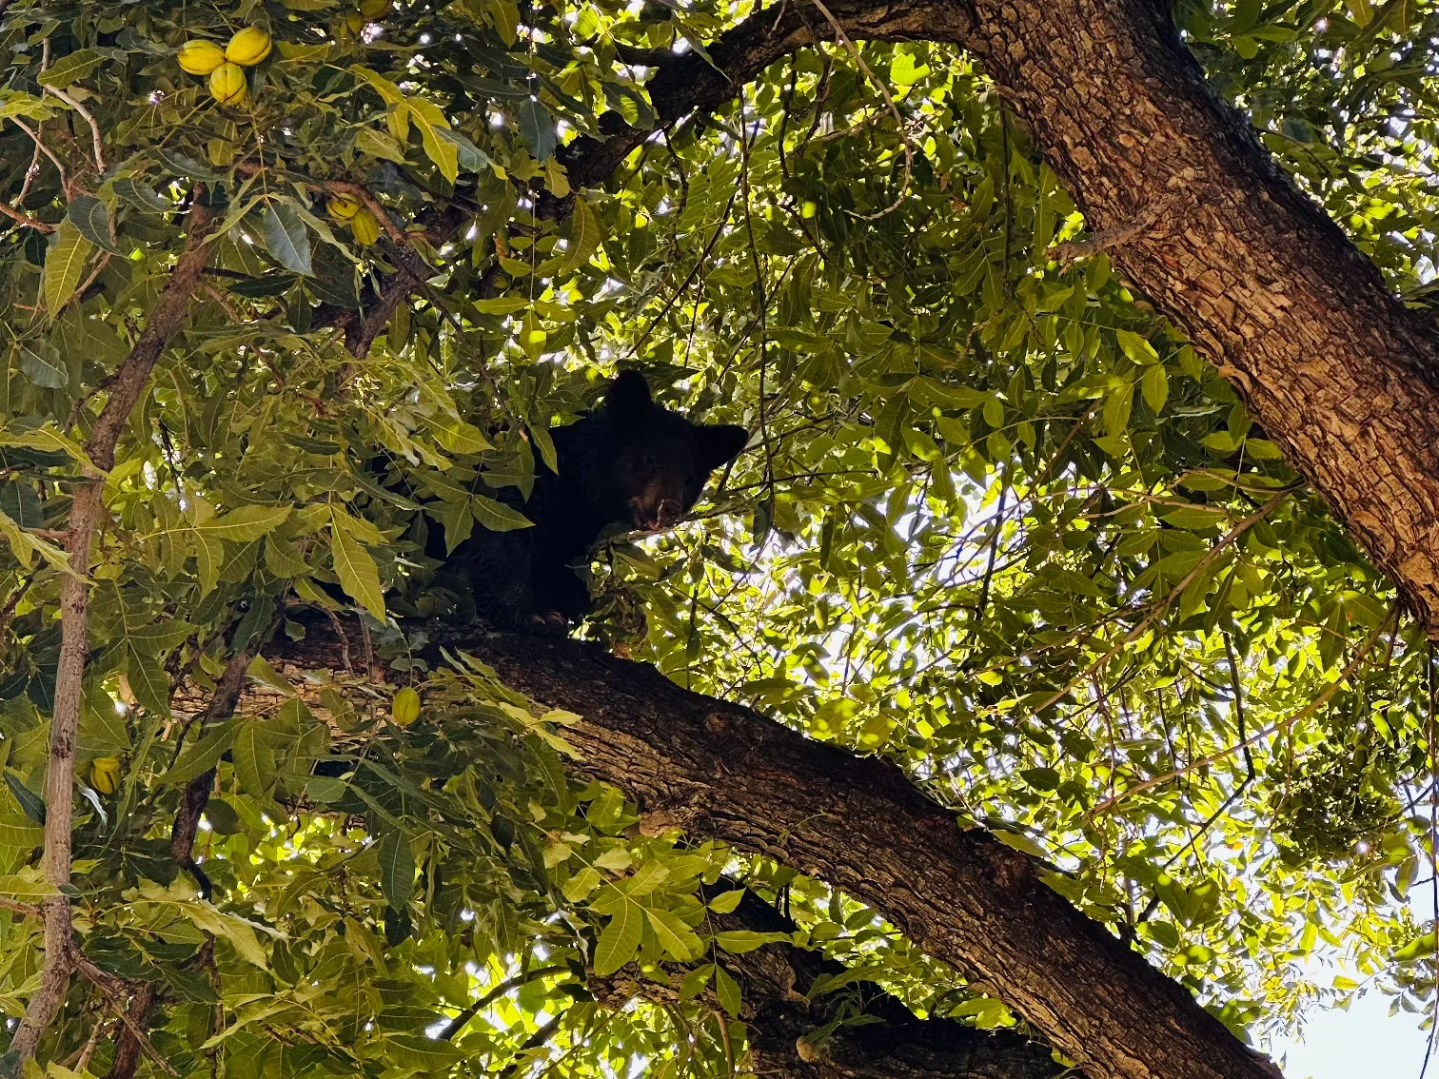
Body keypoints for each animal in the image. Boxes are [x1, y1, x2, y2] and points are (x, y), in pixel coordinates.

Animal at [429, 371, 748, 632]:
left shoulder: (574, 531)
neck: (582, 493)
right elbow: (501, 543)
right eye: (649, 459)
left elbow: (559, 562)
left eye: (690, 478)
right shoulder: (521, 480)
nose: (669, 508)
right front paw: (530, 614)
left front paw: (566, 599)